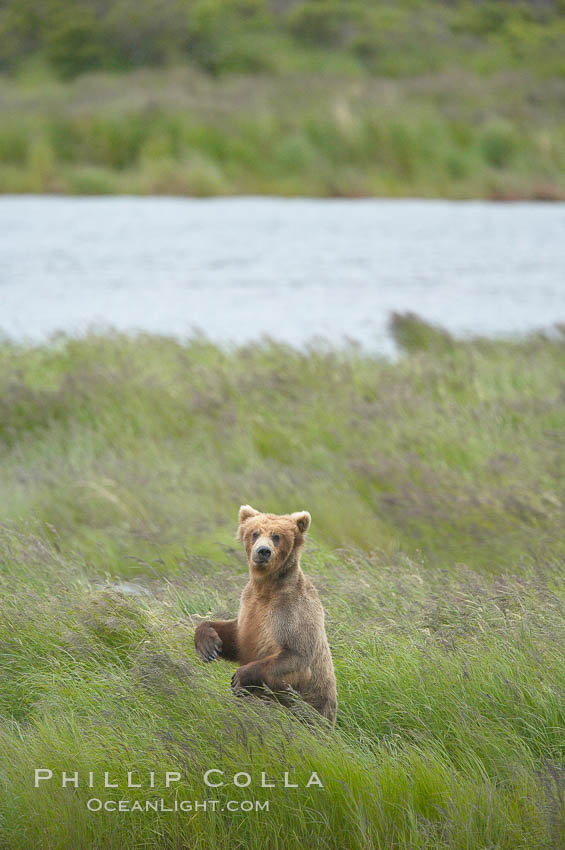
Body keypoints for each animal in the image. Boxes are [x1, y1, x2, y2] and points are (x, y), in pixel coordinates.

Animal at [195, 504, 334, 724]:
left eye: (277, 536)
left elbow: (295, 655)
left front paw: (239, 677)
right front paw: (209, 646)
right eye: (255, 533)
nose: (263, 551)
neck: (267, 588)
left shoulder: (291, 612)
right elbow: (234, 635)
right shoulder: (248, 607)